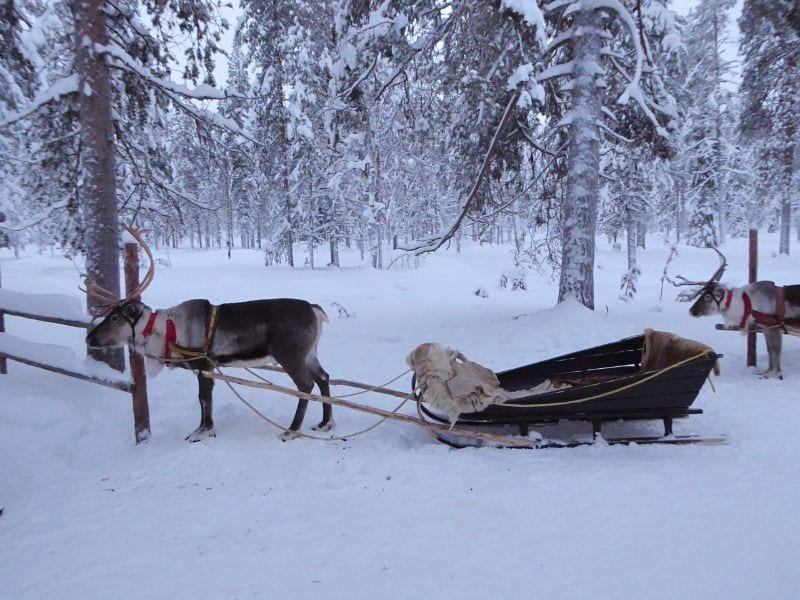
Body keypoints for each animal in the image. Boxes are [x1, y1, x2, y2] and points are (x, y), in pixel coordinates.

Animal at [85, 226, 333, 441]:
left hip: (290, 355)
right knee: (323, 377)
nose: (89, 338)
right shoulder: (206, 368)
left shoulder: (203, 364)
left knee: (305, 385)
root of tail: (314, 309)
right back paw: (325, 423)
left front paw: (203, 431)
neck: (166, 332)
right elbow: (204, 399)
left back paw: (292, 430)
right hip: (309, 353)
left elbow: (204, 399)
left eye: (115, 317)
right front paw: (203, 428)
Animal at [678, 247, 800, 379]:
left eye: (707, 296)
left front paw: (775, 374)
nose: (692, 311)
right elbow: (769, 350)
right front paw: (767, 371)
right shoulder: (765, 328)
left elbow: (775, 350)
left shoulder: (773, 327)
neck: (747, 303)